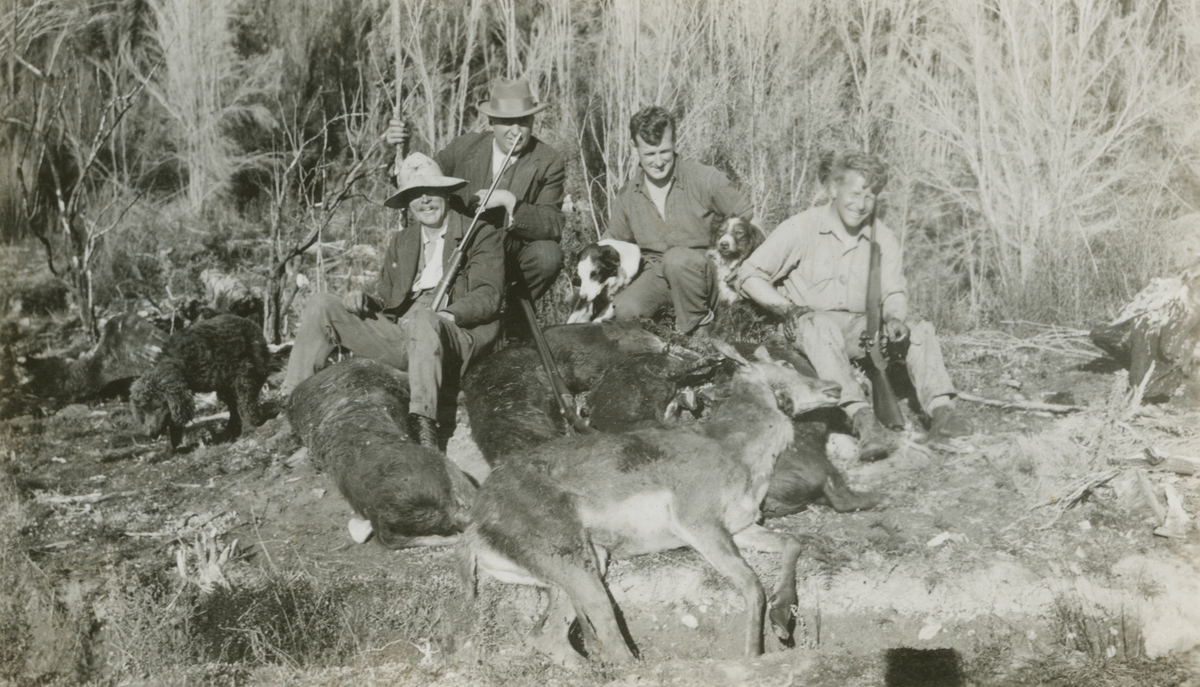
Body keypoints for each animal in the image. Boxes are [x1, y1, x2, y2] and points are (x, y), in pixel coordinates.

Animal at [458, 341, 844, 662]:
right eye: (783, 363)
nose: (835, 387)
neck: (732, 447)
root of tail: (476, 526)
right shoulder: (699, 525)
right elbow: (751, 584)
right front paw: (754, 653)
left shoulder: (741, 527)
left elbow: (792, 542)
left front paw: (781, 620)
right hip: (573, 561)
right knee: (608, 638)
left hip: (586, 564)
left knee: (546, 636)